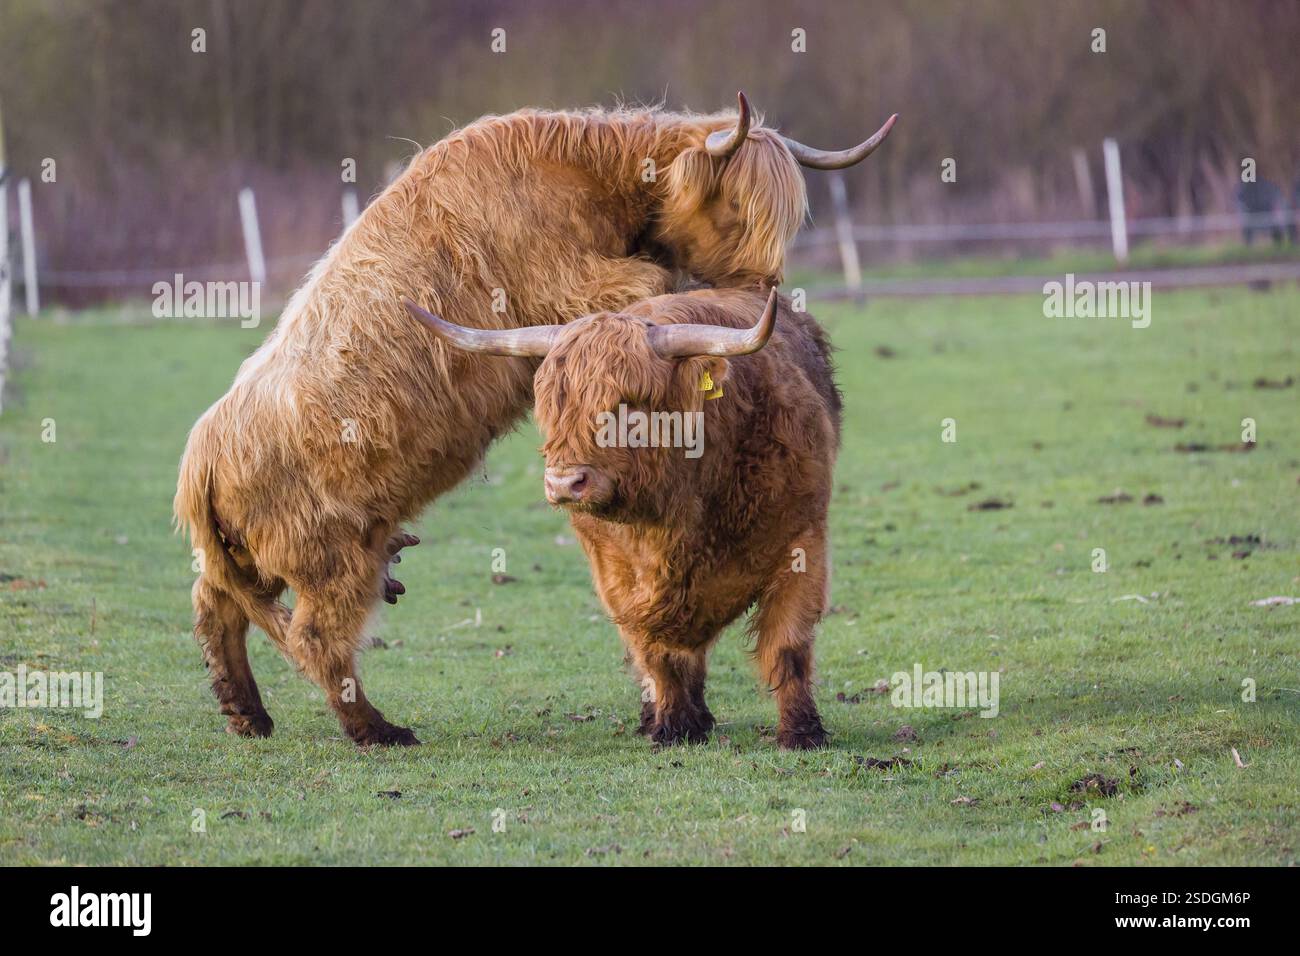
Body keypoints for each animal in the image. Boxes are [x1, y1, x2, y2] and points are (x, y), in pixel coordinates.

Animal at [405, 286, 840, 749]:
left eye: (627, 405)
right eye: (552, 405)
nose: (564, 482)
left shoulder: (802, 543)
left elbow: (787, 645)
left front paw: (801, 732)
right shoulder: (615, 574)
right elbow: (653, 648)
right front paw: (673, 725)